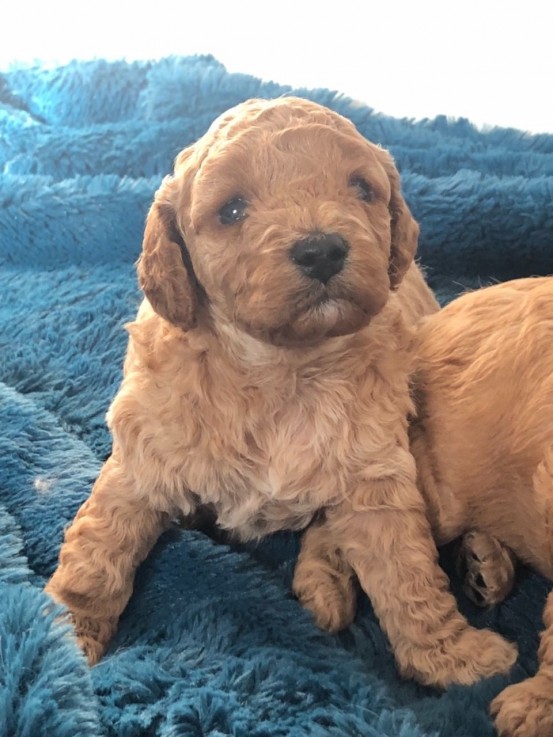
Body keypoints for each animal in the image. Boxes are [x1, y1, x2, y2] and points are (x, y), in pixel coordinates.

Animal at [45, 95, 516, 688]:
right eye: (231, 210)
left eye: (361, 188)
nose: (322, 249)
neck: (279, 369)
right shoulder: (142, 458)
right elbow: (96, 556)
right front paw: (64, 644)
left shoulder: (376, 472)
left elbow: (406, 570)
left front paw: (454, 657)